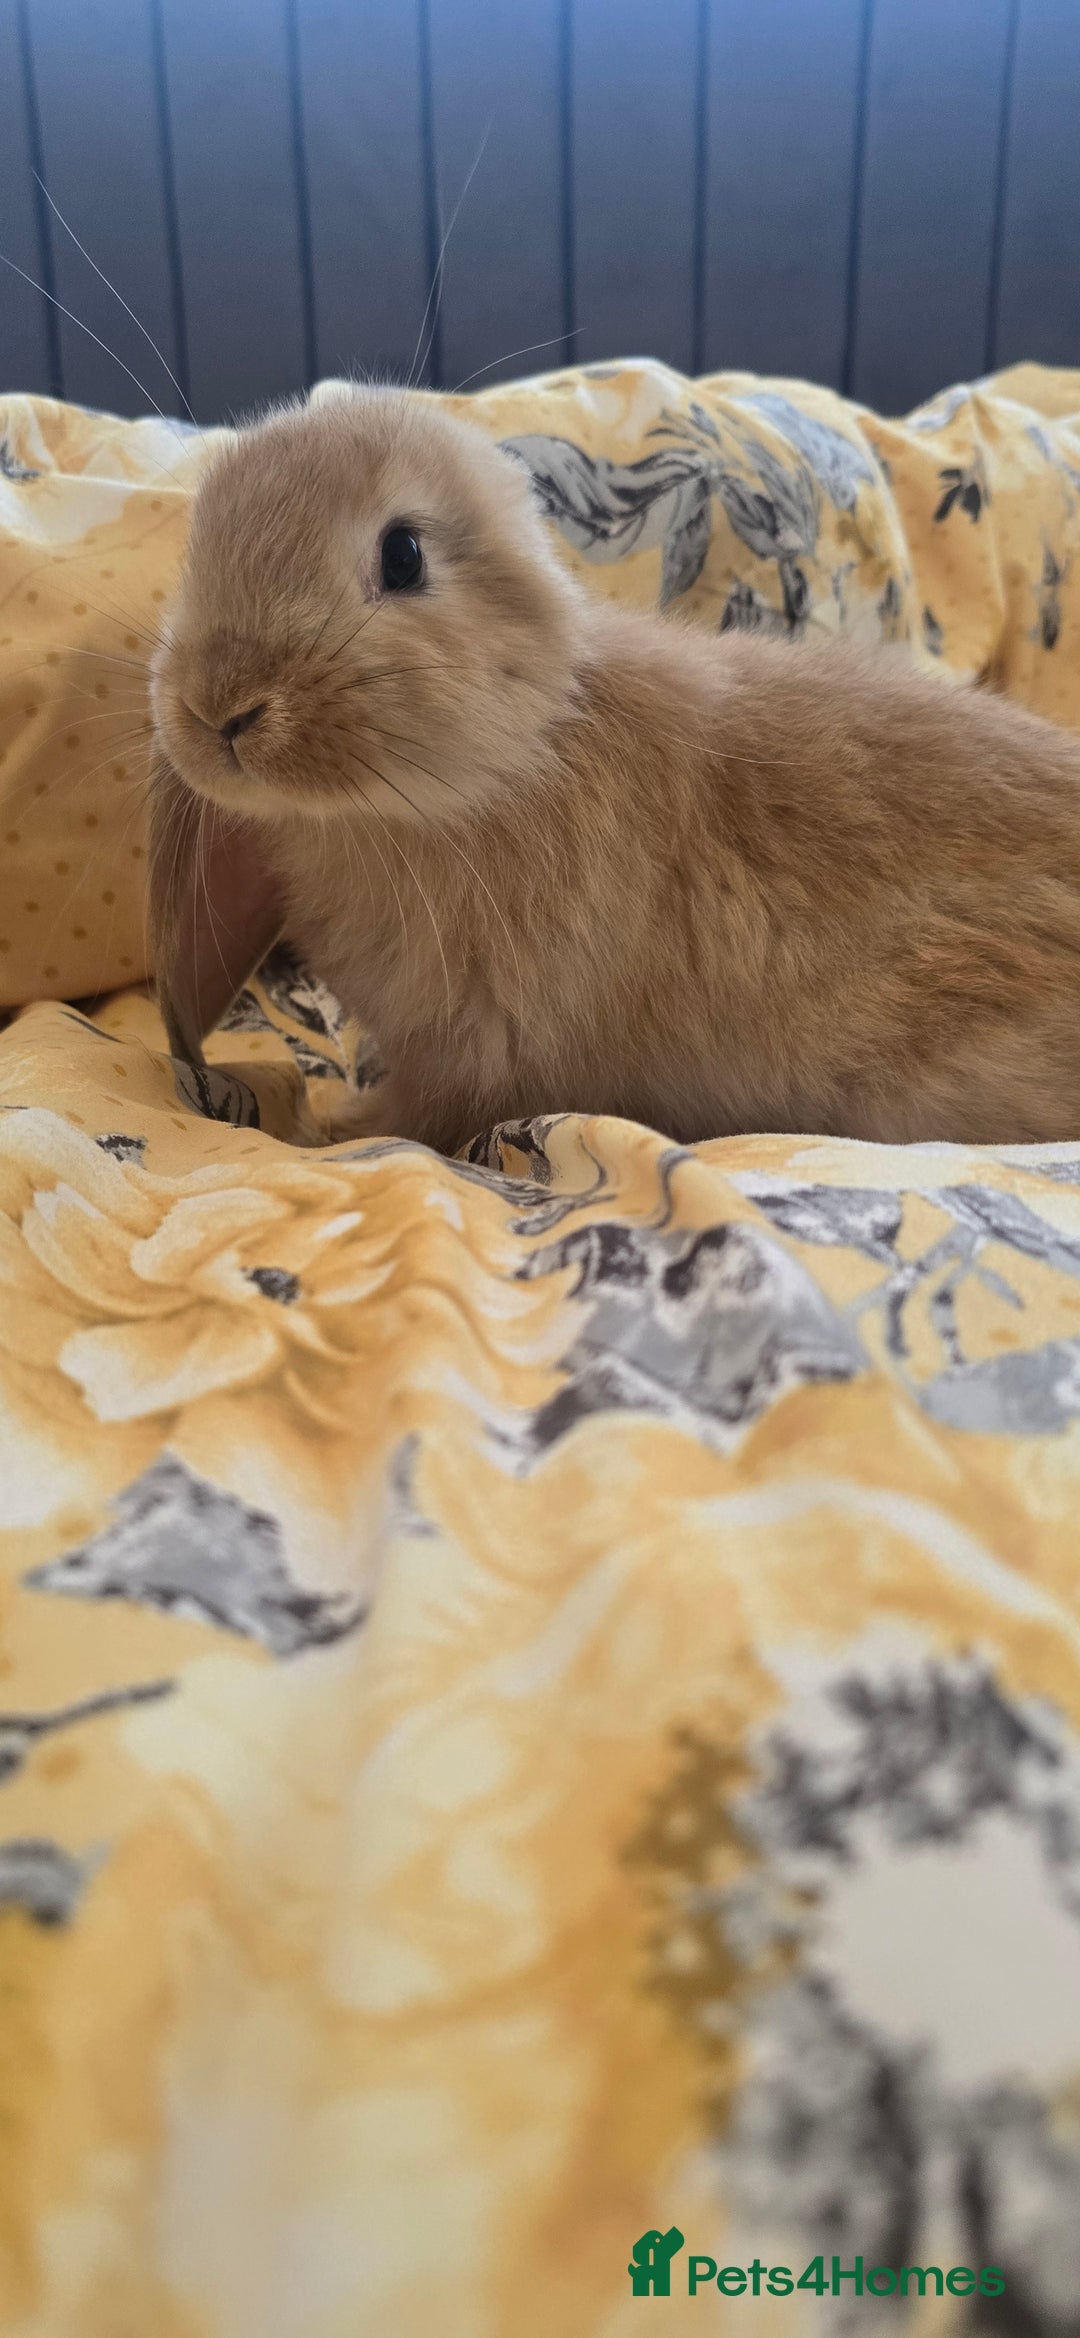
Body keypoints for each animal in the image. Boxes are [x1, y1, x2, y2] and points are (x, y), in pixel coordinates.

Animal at [148, 383, 1080, 1154]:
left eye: (404, 555)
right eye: (196, 546)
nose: (219, 708)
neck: (512, 756)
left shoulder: (477, 1054)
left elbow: (418, 1119)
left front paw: (329, 1132)